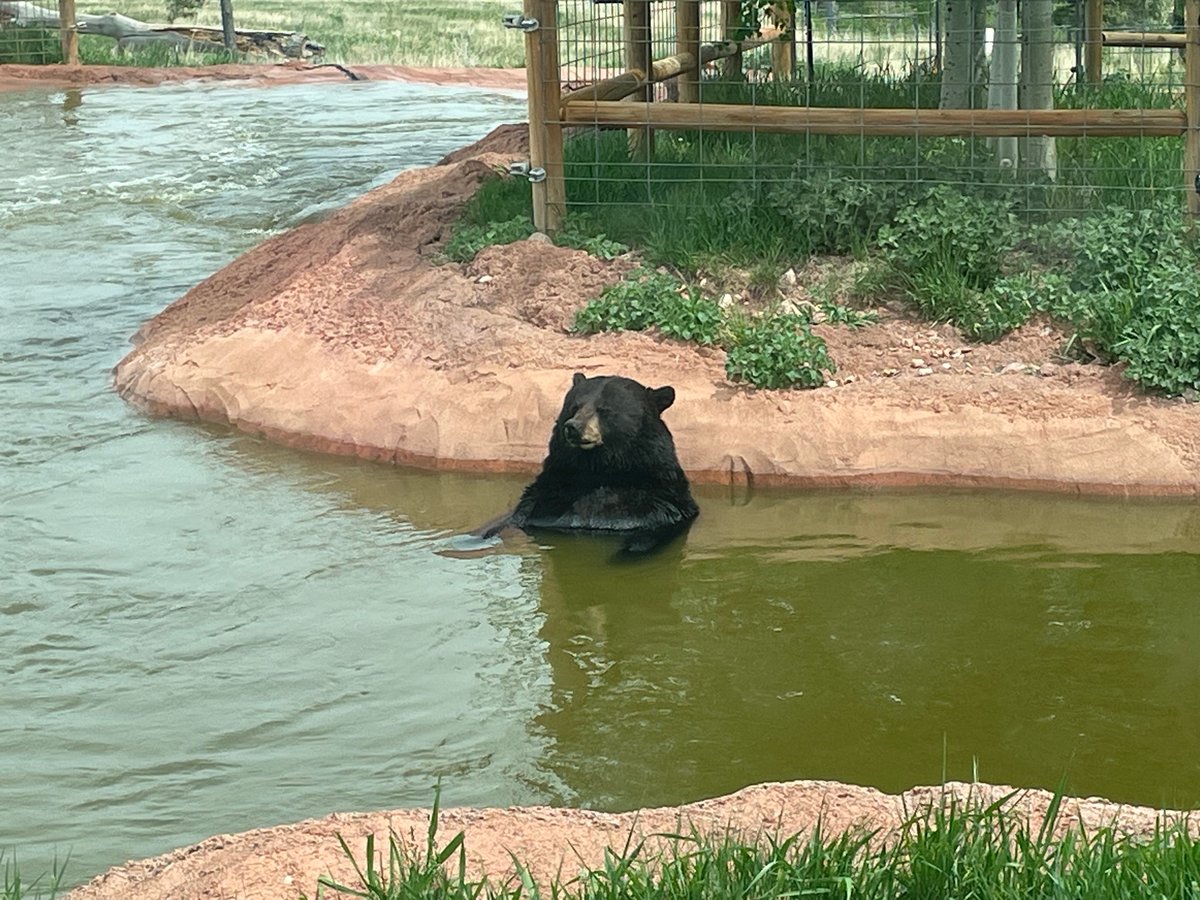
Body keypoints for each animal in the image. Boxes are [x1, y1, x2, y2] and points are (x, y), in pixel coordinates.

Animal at [479, 373, 699, 555]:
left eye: (604, 410)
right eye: (574, 407)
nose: (573, 427)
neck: (599, 468)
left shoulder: (659, 503)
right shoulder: (546, 497)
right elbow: (510, 518)